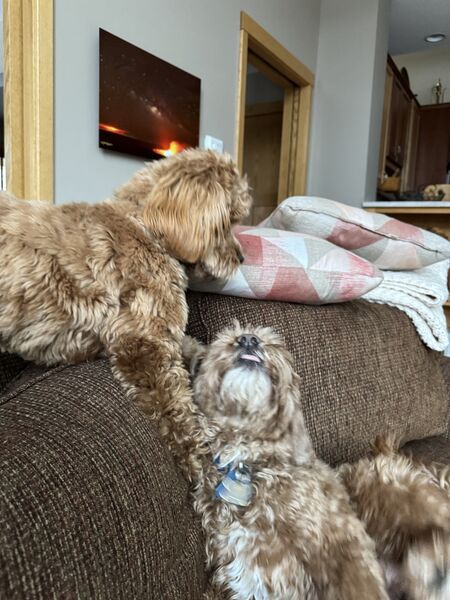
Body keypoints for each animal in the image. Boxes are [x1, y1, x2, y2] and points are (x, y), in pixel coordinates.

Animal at [0, 149, 251, 479]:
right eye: (227, 221)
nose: (242, 258)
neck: (145, 226)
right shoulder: (144, 344)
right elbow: (179, 413)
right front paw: (203, 466)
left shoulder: (157, 331)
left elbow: (191, 345)